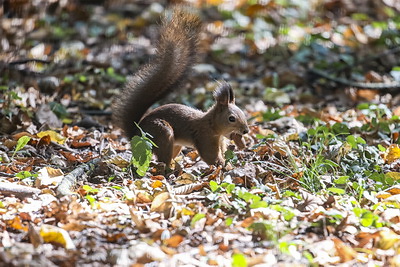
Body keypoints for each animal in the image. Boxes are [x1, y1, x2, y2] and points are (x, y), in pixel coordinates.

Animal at [112, 7, 248, 165]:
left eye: (243, 113)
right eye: (231, 118)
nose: (246, 131)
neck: (211, 124)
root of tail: (136, 134)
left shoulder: (220, 140)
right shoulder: (204, 137)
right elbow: (210, 155)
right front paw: (223, 165)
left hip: (175, 144)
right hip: (163, 133)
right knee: (163, 159)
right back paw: (171, 167)